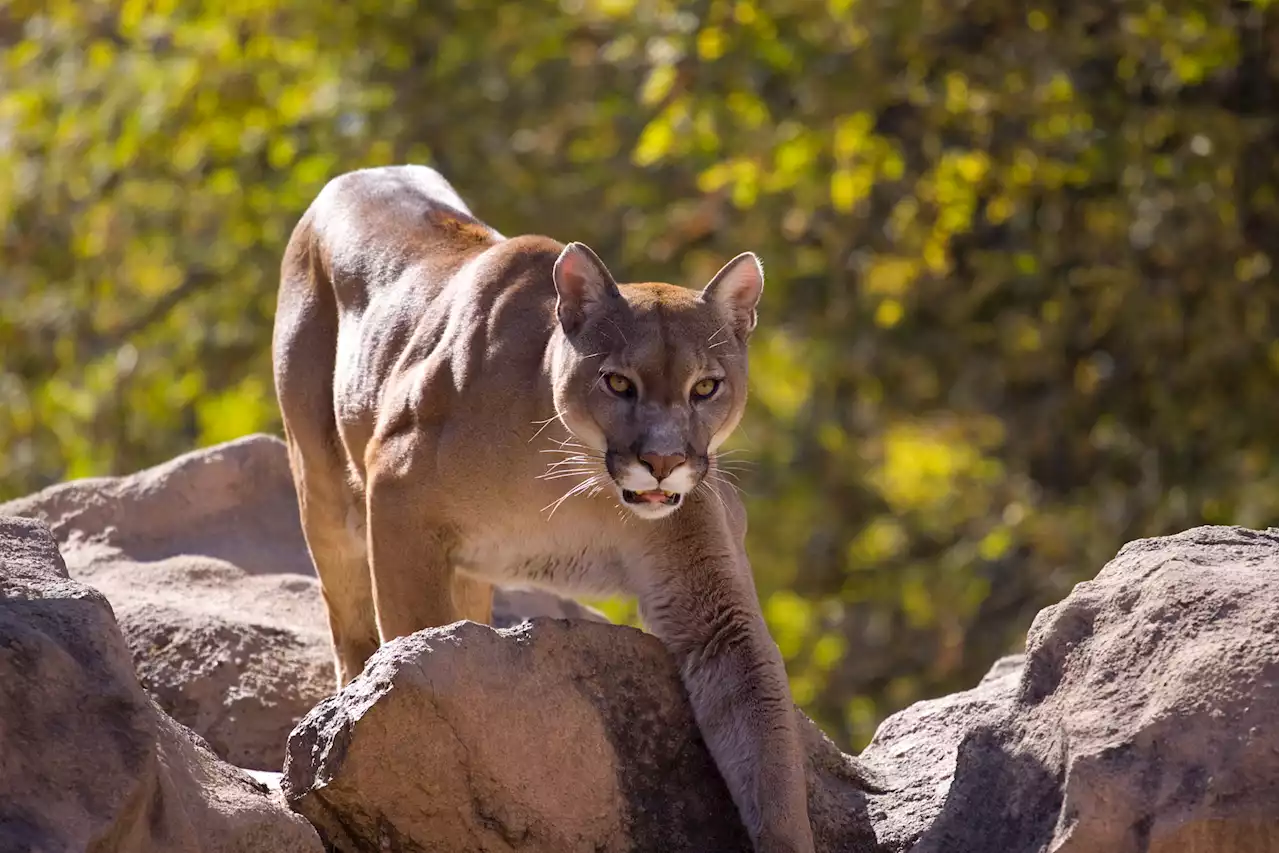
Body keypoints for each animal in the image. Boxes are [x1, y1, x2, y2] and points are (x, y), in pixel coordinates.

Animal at [271, 167, 814, 850]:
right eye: (618, 382)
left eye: (706, 387)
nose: (663, 461)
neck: (574, 477)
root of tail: (361, 172)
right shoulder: (394, 494)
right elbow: (409, 642)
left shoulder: (716, 605)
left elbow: (761, 727)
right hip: (324, 490)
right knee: (350, 620)